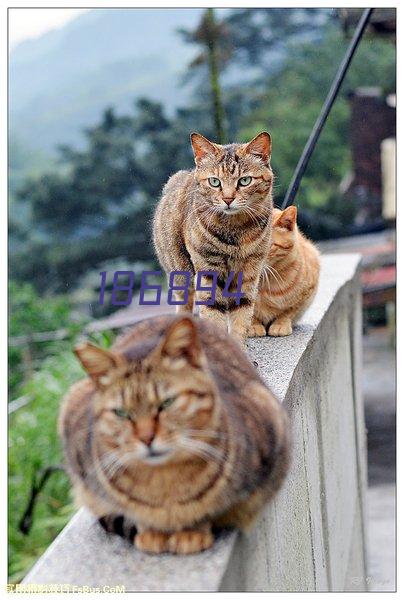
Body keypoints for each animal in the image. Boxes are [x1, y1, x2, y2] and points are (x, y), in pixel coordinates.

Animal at [58, 316, 288, 556]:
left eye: (167, 403)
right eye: (121, 413)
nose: (146, 438)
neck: (164, 485)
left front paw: (192, 532)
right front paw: (151, 532)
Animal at [153, 130, 274, 342]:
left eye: (245, 180)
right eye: (214, 182)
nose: (228, 199)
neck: (235, 231)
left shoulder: (250, 271)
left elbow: (241, 315)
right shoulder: (207, 270)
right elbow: (213, 313)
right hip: (180, 273)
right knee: (184, 306)